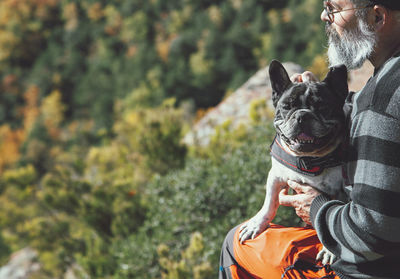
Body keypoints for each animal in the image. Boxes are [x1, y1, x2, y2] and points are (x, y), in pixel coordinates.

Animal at [239, 60, 348, 264]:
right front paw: (257, 223)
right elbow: (270, 202)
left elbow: (336, 222)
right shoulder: (275, 176)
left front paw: (329, 250)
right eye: (287, 106)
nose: (302, 115)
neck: (309, 159)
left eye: (322, 107)